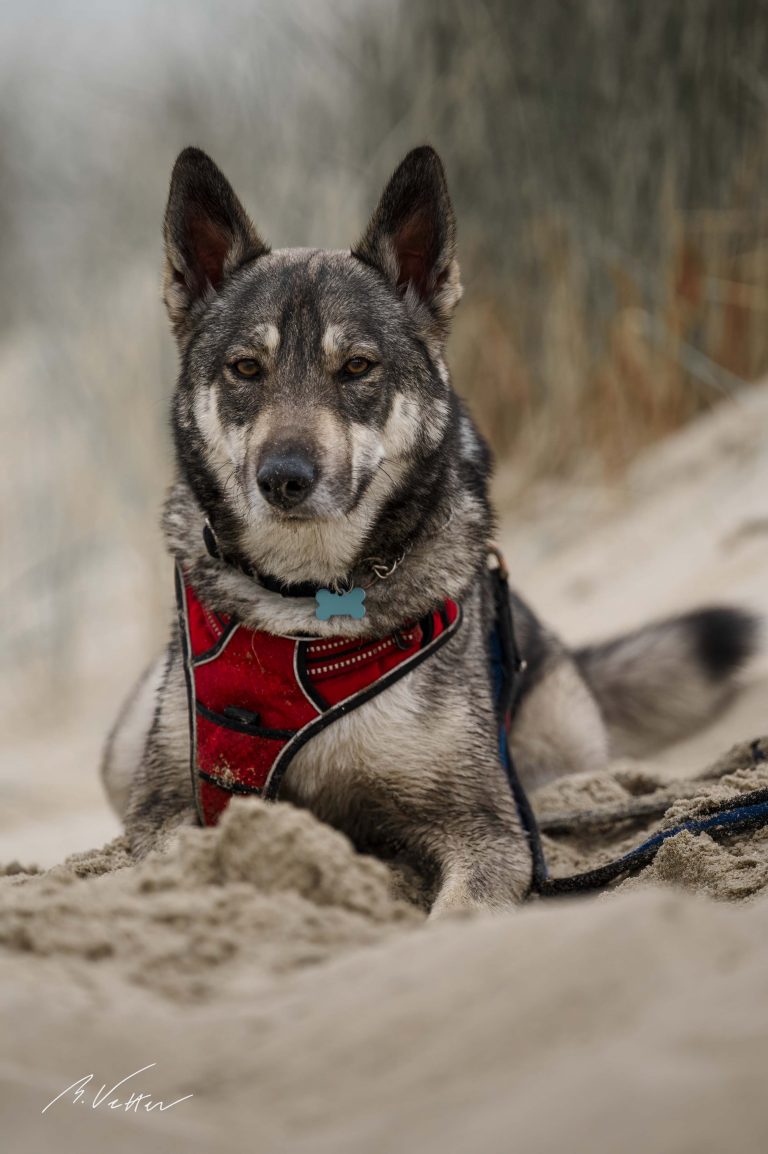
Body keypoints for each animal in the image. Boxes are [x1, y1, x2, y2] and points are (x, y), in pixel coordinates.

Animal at [100, 146, 751, 918]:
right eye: (245, 369)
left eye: (356, 367)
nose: (283, 478)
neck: (306, 601)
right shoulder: (171, 811)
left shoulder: (486, 828)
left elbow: (460, 916)